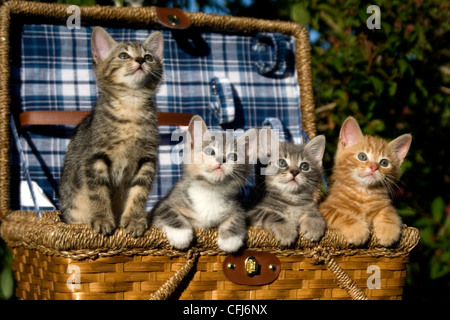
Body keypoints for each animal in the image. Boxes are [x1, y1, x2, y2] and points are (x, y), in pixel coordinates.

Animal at [59, 26, 163, 238]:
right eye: (123, 55)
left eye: (148, 57)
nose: (140, 60)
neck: (131, 107)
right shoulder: (94, 158)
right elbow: (98, 192)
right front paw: (102, 219)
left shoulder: (147, 160)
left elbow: (139, 193)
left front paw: (134, 220)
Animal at [151, 115, 256, 252]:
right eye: (210, 151)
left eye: (233, 157)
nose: (221, 159)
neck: (210, 191)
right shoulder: (165, 203)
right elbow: (168, 211)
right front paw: (180, 234)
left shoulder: (235, 206)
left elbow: (238, 216)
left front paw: (231, 240)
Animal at [320, 116, 412, 246]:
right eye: (362, 157)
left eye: (384, 163)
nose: (373, 167)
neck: (364, 193)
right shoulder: (324, 209)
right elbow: (339, 214)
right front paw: (357, 229)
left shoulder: (385, 203)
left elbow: (389, 211)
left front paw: (388, 230)